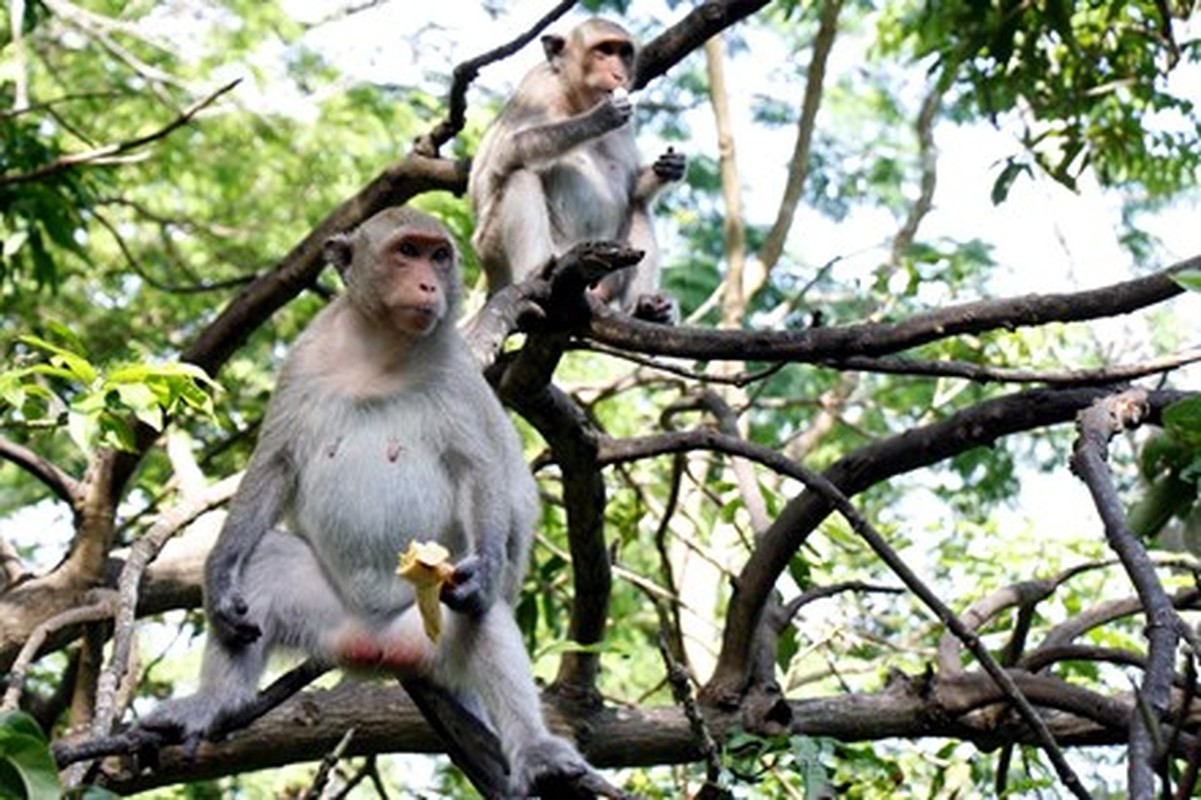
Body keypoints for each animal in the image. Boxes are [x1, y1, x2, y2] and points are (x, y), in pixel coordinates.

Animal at [142, 206, 610, 797]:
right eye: (407, 252)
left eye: (439, 255)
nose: (429, 283)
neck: (380, 351)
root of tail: (376, 646)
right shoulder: (304, 358)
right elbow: (274, 465)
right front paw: (219, 572)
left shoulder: (457, 372)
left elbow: (480, 470)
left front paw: (485, 566)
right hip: (326, 617)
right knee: (267, 561)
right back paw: (211, 703)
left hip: (429, 625)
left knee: (476, 612)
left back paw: (535, 749)